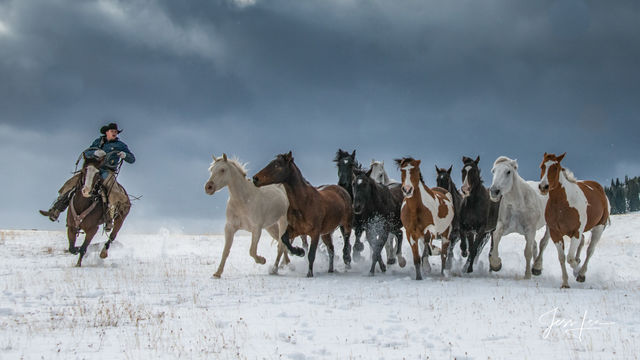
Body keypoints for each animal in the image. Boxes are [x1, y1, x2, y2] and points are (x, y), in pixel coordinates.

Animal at [254, 150, 356, 278]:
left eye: (277, 165)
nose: (255, 178)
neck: (304, 203)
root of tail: (342, 190)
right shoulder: (296, 230)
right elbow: (284, 239)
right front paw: (299, 252)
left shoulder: (315, 233)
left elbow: (311, 254)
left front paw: (309, 273)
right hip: (326, 233)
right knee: (331, 249)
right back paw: (330, 269)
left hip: (345, 224)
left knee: (346, 240)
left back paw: (346, 258)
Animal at [536, 153, 608, 288]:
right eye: (542, 166)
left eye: (555, 167)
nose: (543, 187)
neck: (562, 204)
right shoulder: (555, 233)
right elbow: (562, 257)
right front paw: (565, 282)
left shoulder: (576, 232)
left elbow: (570, 258)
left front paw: (578, 272)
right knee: (583, 242)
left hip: (599, 228)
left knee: (590, 250)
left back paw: (582, 272)